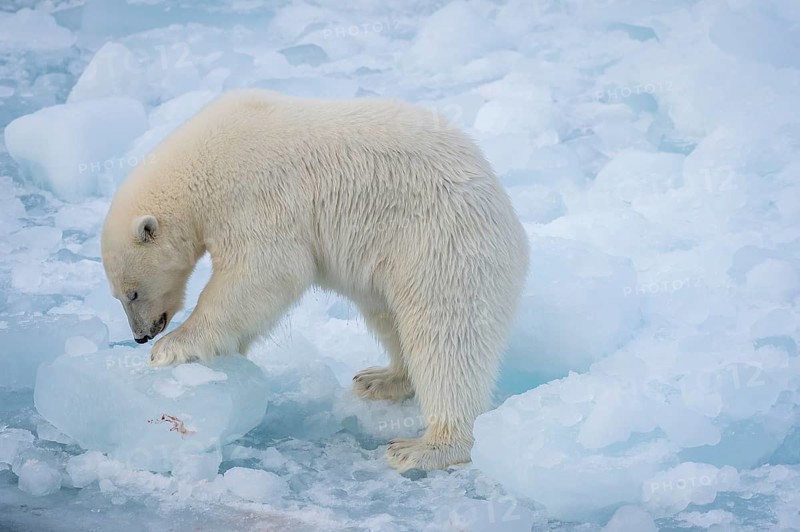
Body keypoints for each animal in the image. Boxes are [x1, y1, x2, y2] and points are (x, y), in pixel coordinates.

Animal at [101, 89, 529, 471]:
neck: (202, 162)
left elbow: (264, 271)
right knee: (388, 316)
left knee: (446, 337)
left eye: (132, 293)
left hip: (441, 246)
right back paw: (381, 378)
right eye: (118, 296)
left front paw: (174, 346)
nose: (141, 336)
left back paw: (424, 448)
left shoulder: (253, 194)